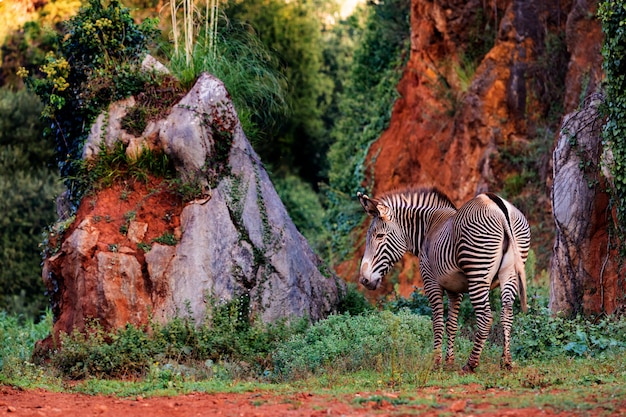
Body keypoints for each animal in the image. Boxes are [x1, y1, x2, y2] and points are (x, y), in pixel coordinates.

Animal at [356, 187, 528, 372]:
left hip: (478, 271)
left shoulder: (430, 281)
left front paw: (436, 362)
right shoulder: (455, 288)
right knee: (507, 313)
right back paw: (506, 361)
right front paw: (449, 362)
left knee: (486, 317)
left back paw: (471, 364)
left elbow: (437, 322)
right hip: (510, 273)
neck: (427, 229)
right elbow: (452, 324)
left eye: (380, 236)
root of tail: (497, 204)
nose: (364, 280)